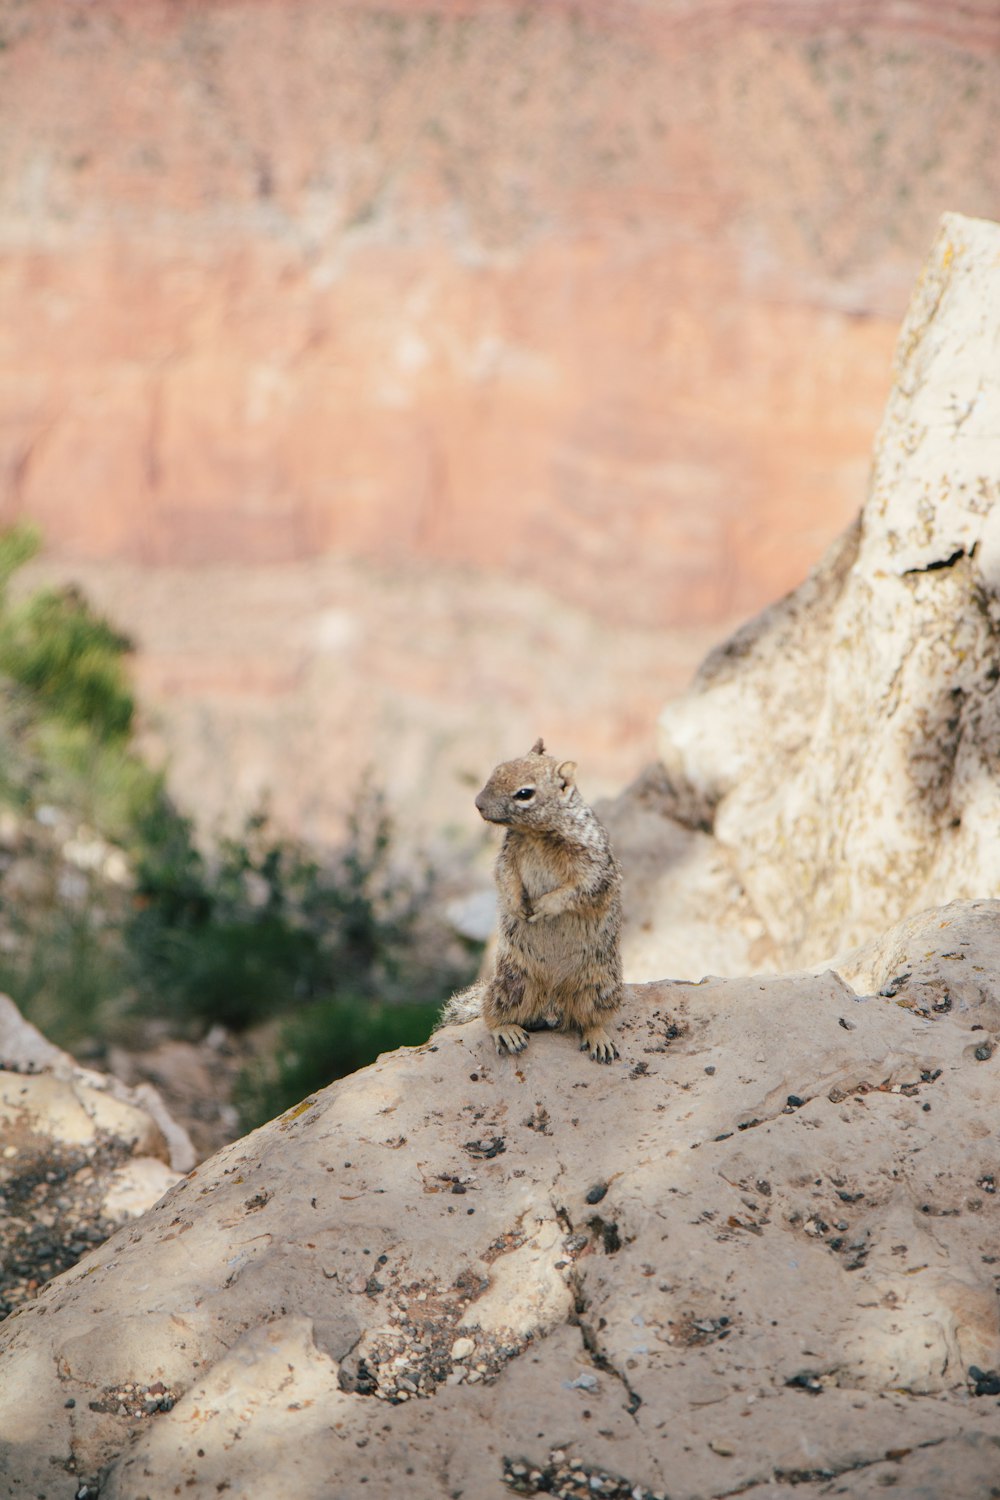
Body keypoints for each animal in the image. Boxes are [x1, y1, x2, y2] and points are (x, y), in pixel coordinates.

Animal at [440, 744, 620, 1062]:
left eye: (524, 793)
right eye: (496, 771)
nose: (478, 804)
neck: (536, 834)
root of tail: (551, 1005)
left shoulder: (594, 866)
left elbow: (580, 890)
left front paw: (544, 907)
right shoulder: (507, 855)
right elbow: (504, 877)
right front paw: (515, 905)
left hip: (599, 987)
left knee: (589, 1020)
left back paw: (598, 1037)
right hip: (512, 984)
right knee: (492, 1014)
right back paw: (507, 1031)